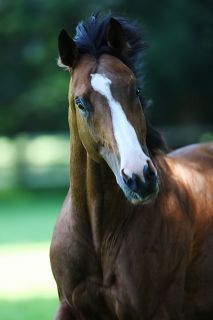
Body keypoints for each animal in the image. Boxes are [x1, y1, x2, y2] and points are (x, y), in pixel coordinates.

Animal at [50, 13, 213, 318]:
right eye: (80, 102)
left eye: (136, 90)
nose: (140, 177)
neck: (100, 235)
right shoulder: (69, 304)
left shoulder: (153, 310)